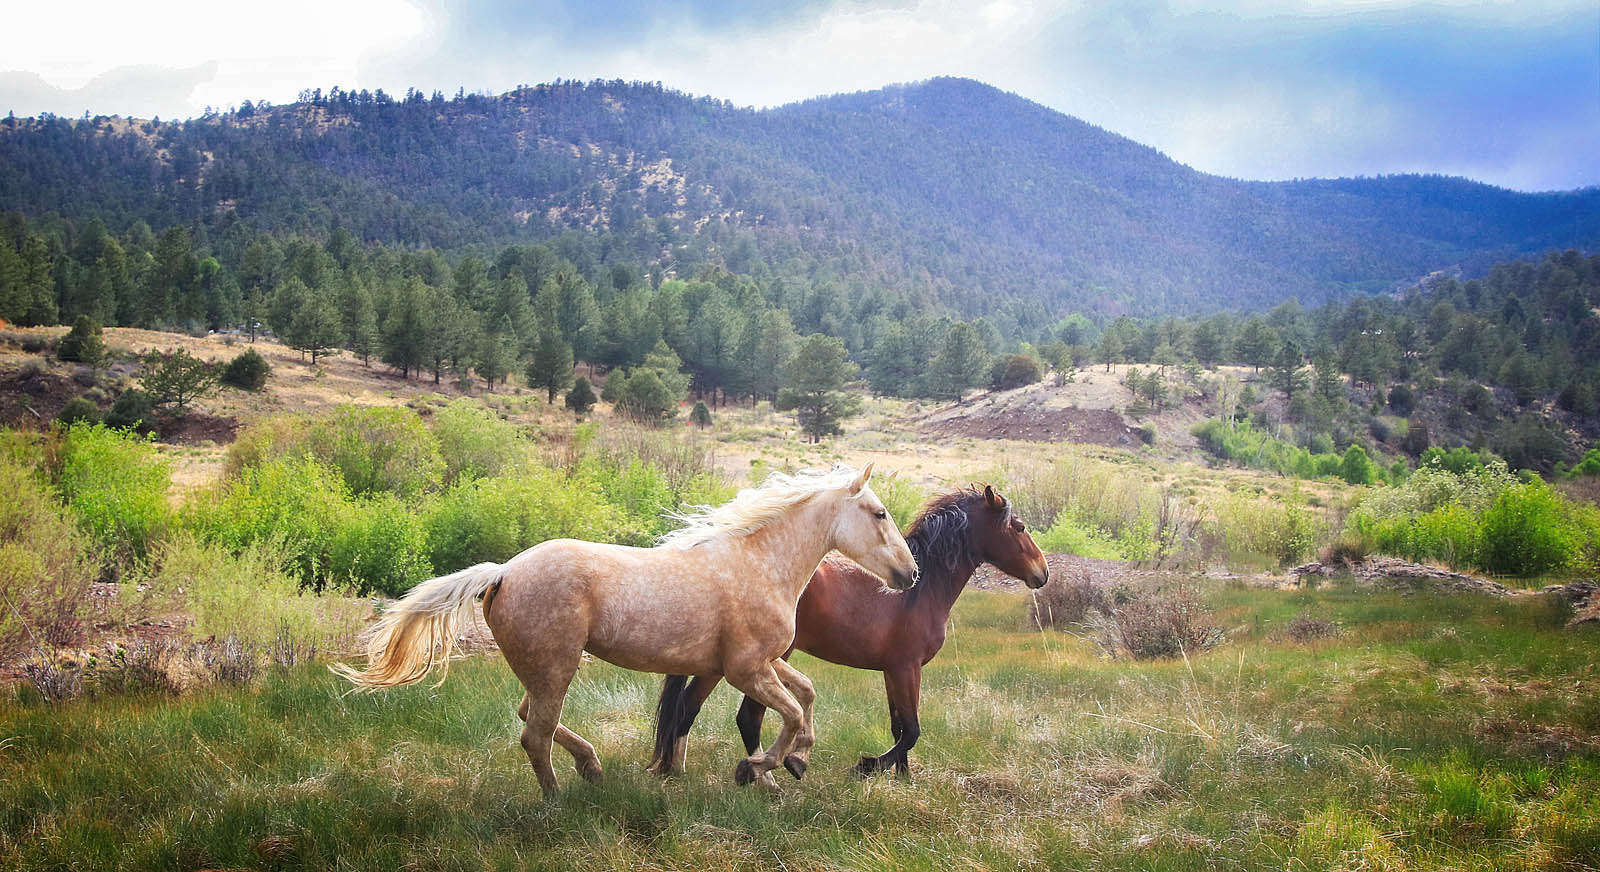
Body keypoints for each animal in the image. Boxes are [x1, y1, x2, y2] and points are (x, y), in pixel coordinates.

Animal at [333, 463, 918, 797]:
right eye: (879, 513)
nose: (910, 574)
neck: (759, 564)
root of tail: (502, 573)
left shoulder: (760, 663)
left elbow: (808, 694)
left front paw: (795, 762)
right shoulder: (745, 670)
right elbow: (793, 711)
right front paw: (758, 767)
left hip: (543, 670)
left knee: (530, 718)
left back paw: (591, 768)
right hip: (558, 667)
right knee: (534, 733)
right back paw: (560, 802)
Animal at [648, 484, 1048, 778]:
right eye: (1019, 527)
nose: (1042, 573)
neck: (920, 589)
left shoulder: (893, 671)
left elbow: (899, 727)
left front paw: (903, 779)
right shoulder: (907, 668)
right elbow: (911, 731)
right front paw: (867, 766)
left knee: (689, 707)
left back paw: (679, 769)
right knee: (744, 716)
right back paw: (764, 773)